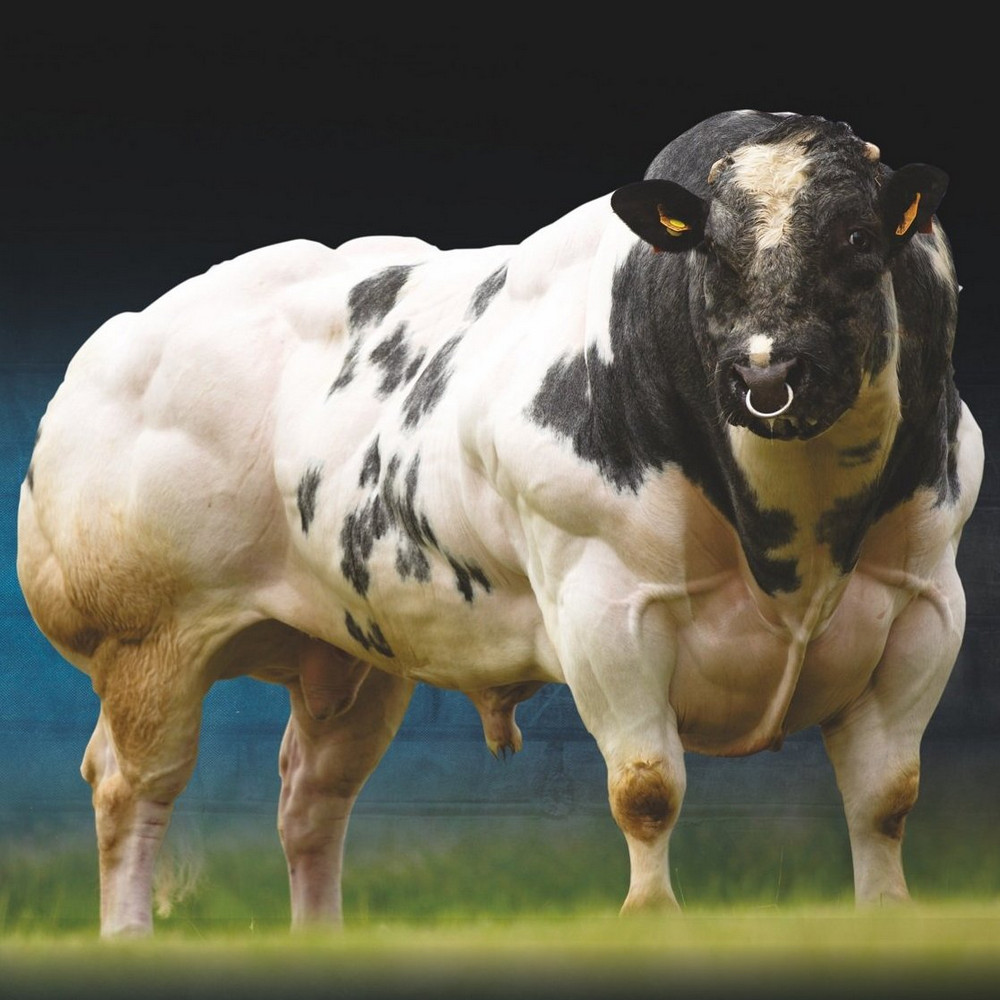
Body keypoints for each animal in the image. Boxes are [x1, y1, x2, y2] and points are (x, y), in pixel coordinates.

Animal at [16, 109, 983, 937]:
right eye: (710, 250)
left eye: (857, 239)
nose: (766, 373)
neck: (793, 540)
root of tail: (118, 340)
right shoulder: (604, 604)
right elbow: (646, 786)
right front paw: (650, 917)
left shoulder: (927, 607)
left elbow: (886, 794)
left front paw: (887, 914)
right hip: (147, 638)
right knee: (132, 786)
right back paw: (128, 936)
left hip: (353, 656)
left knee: (311, 798)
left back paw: (320, 939)